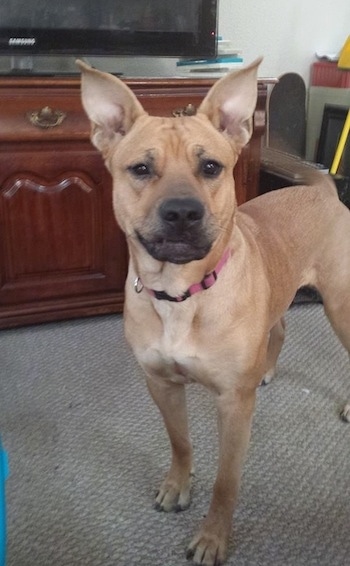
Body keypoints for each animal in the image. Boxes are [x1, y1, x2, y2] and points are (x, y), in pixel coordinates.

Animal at [78, 60, 350, 564]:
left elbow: (227, 482)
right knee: (279, 328)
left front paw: (212, 537)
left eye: (210, 167)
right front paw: (177, 485)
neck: (181, 294)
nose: (182, 212)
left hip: (341, 305)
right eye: (140, 168)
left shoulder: (233, 406)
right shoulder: (161, 384)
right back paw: (267, 369)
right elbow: (180, 442)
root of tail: (324, 190)